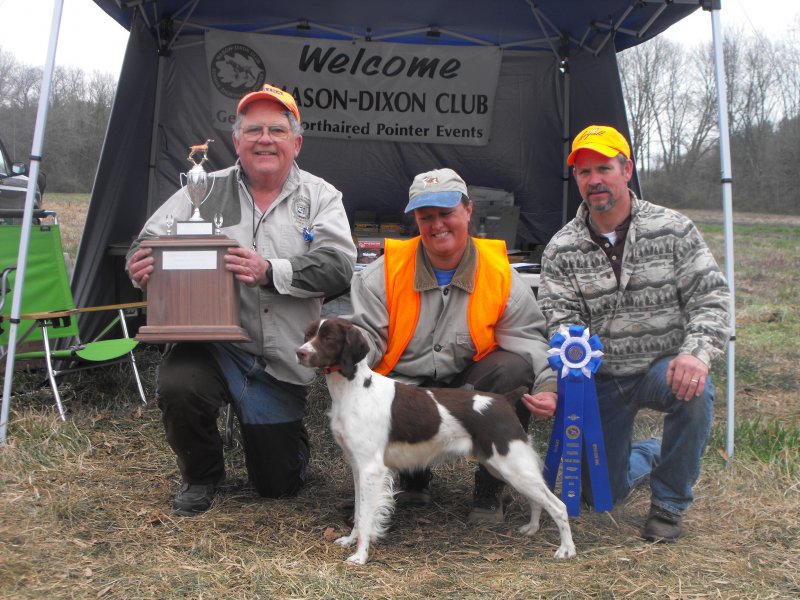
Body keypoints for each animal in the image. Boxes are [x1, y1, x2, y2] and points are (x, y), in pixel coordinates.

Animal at [296, 316, 576, 564]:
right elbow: (358, 510)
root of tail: (504, 399)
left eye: (328, 338)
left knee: (559, 505)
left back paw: (566, 550)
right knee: (538, 500)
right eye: (307, 335)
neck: (354, 389)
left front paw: (360, 556)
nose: (299, 353)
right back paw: (532, 528)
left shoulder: (371, 469)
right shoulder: (357, 467)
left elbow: (365, 516)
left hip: (513, 465)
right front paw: (350, 540)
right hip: (503, 466)